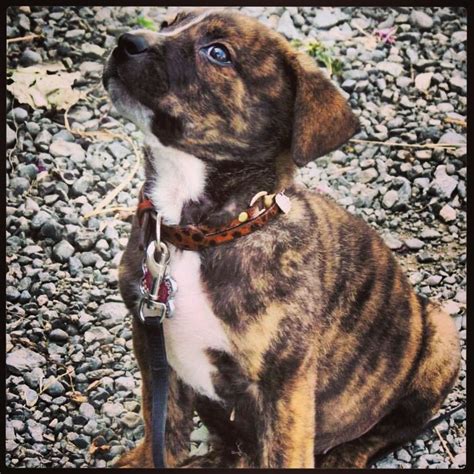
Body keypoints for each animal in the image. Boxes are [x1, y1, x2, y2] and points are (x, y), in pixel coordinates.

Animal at [103, 9, 460, 468]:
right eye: (167, 22)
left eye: (218, 53)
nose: (125, 42)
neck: (203, 231)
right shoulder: (151, 341)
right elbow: (162, 422)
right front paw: (147, 458)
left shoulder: (284, 384)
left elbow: (284, 452)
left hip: (442, 335)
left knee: (392, 428)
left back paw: (345, 456)